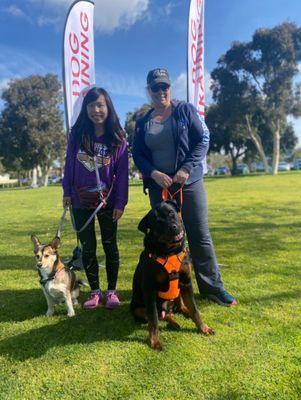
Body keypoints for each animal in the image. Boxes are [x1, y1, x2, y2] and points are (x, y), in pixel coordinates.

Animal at [129, 200, 213, 350]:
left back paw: (181, 315)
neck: (170, 251)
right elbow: (153, 320)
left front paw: (203, 328)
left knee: (176, 308)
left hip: (178, 292)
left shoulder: (186, 281)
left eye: (171, 213)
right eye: (157, 222)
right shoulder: (149, 289)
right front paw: (154, 342)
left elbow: (195, 309)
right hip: (138, 308)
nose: (172, 227)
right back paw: (172, 322)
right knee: (157, 315)